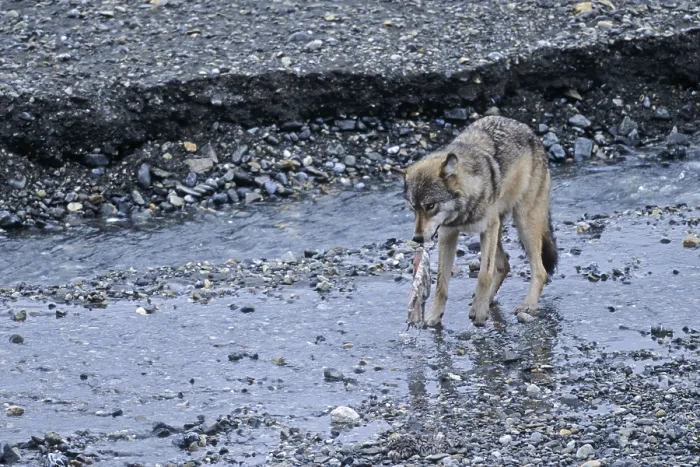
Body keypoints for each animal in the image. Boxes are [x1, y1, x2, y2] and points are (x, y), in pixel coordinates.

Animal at [395, 116, 558, 327]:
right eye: (413, 208)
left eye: (430, 206)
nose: (417, 239)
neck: (463, 212)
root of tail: (528, 130)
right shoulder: (447, 234)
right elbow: (441, 283)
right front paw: (433, 316)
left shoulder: (487, 229)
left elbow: (483, 274)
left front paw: (479, 312)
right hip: (500, 228)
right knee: (504, 266)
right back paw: (488, 299)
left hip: (522, 224)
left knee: (540, 271)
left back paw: (527, 305)